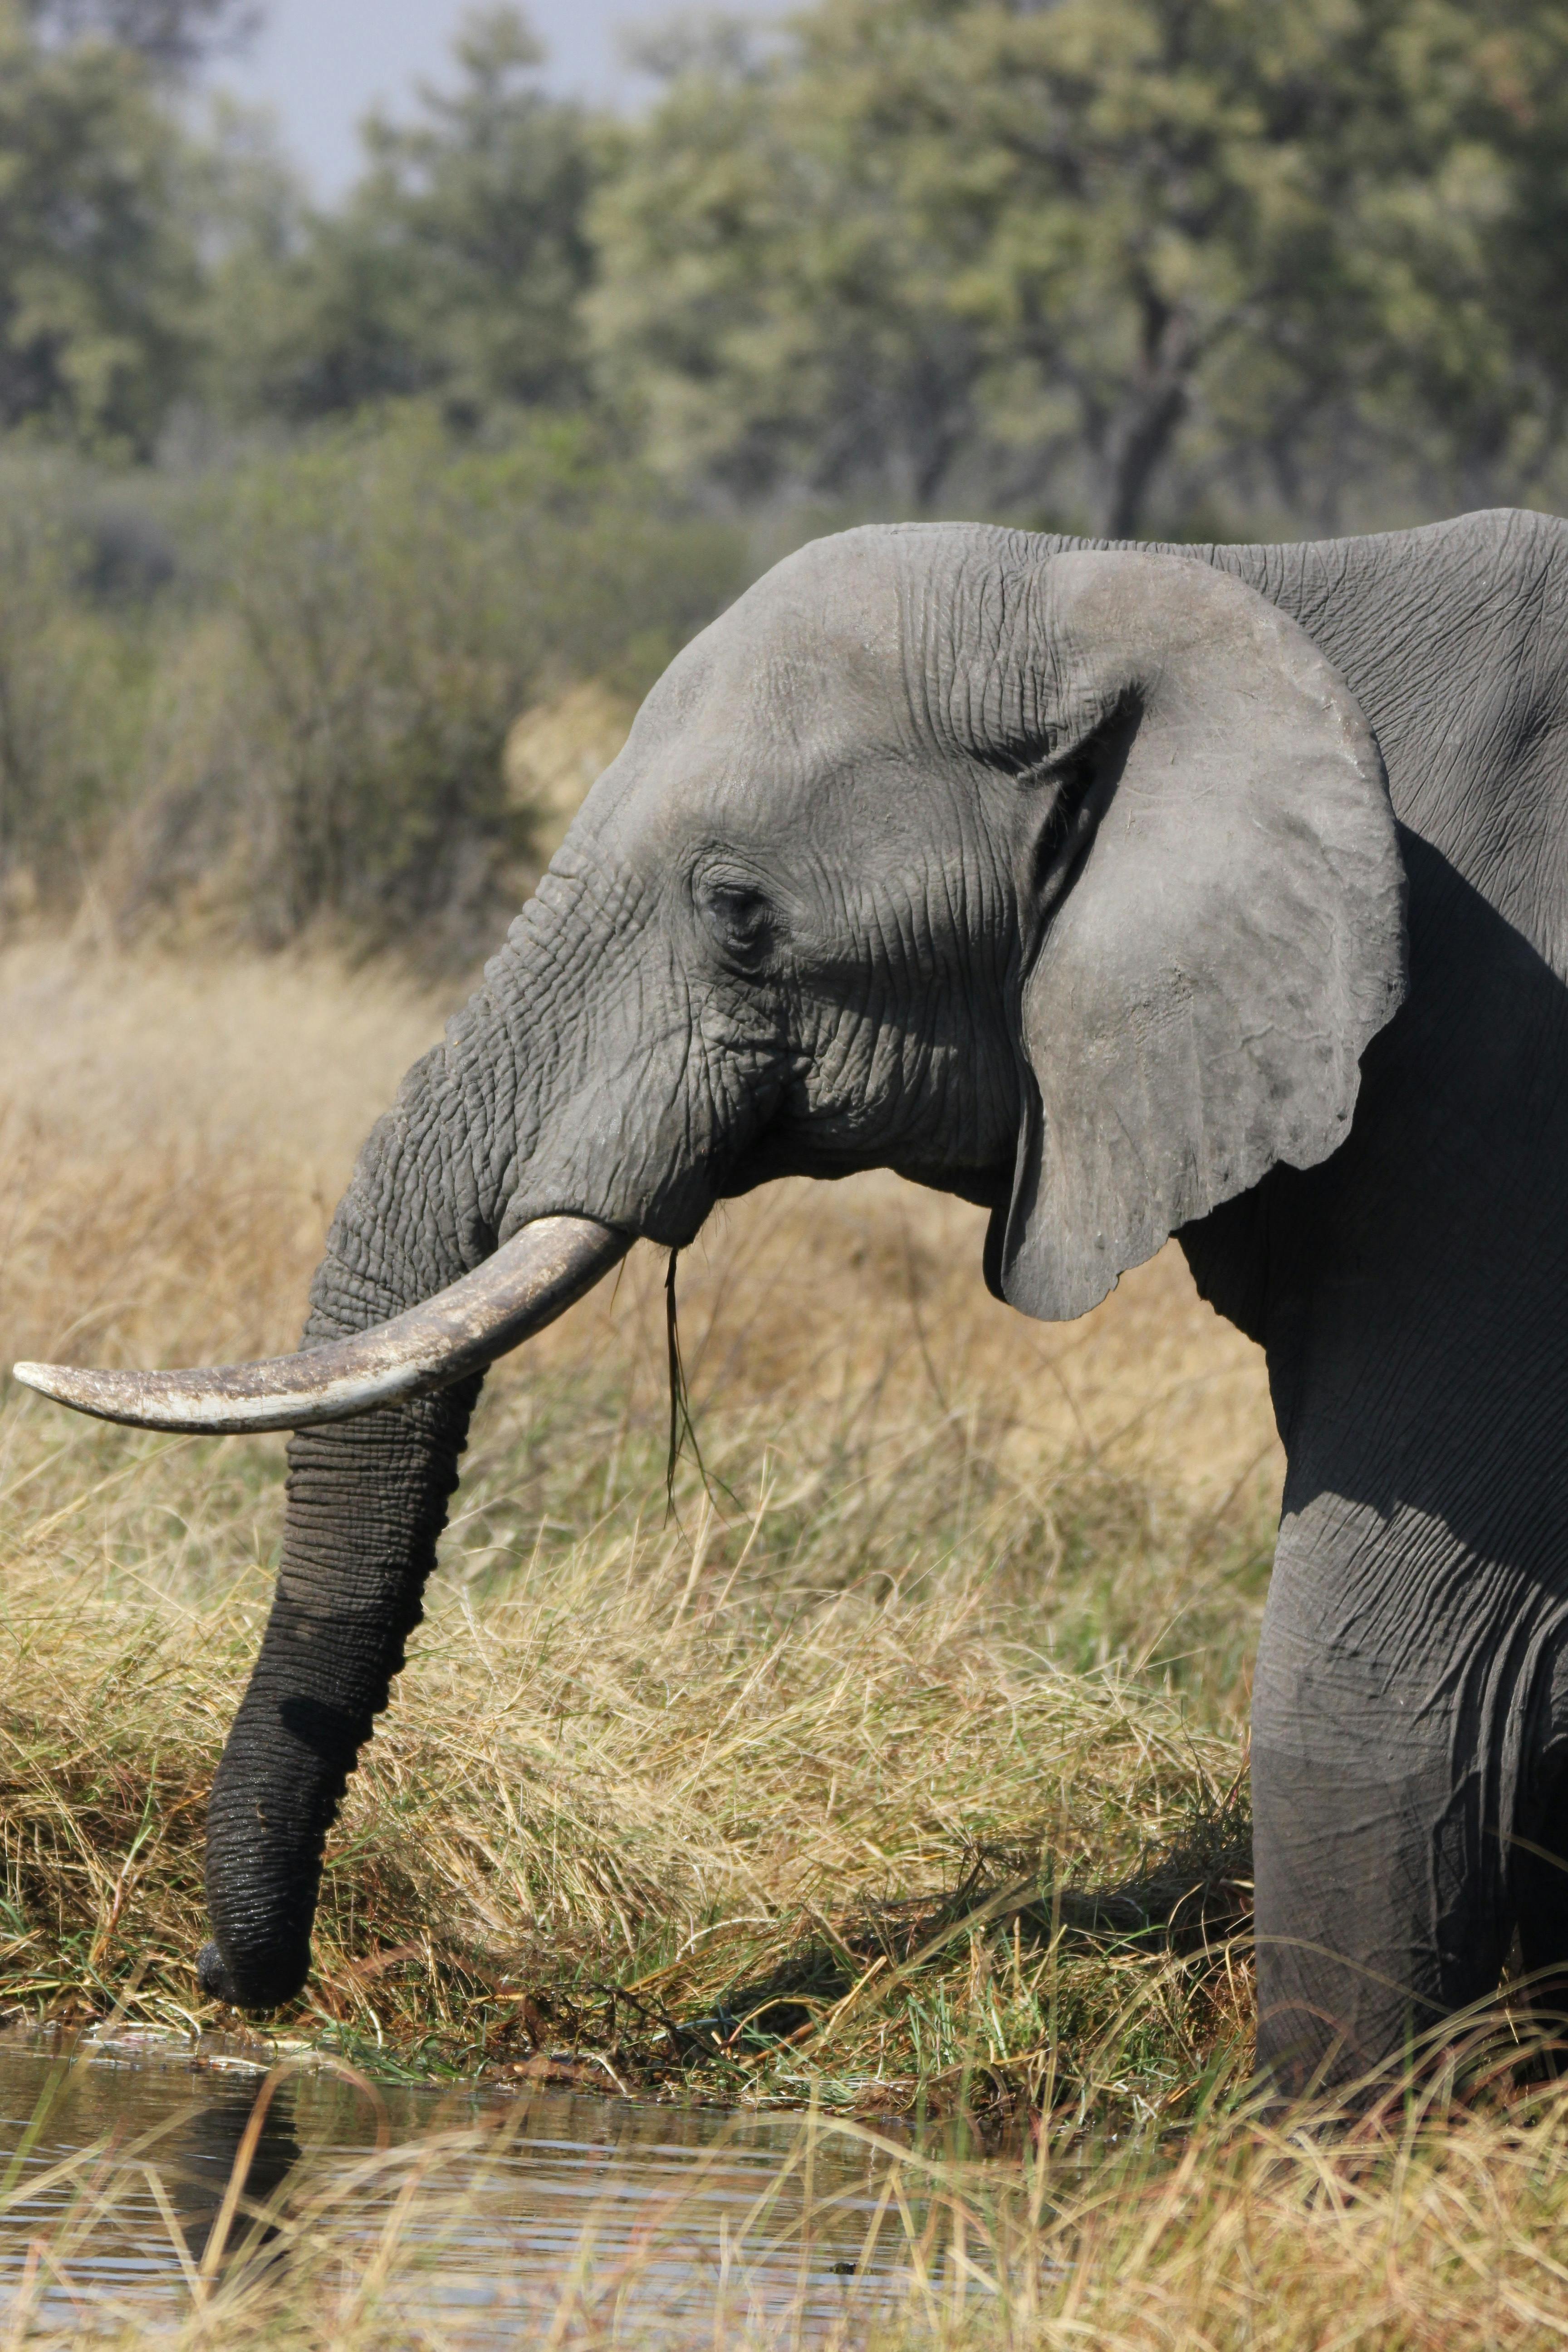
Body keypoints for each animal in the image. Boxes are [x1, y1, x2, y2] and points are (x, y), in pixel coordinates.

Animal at [18, 501, 1568, 2098]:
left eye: (741, 916)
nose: (238, 1985)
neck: (1200, 589)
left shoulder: (1507, 1112)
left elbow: (1386, 1691)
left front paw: (1320, 2143)